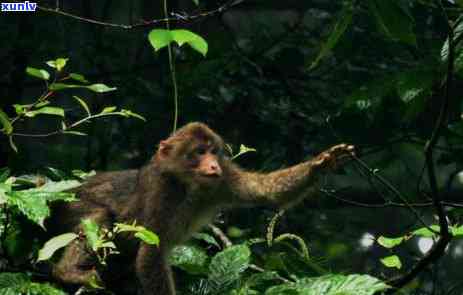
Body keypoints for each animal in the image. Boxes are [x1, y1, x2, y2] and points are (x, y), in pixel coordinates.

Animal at [48, 122, 356, 295]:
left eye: (213, 151)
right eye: (198, 152)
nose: (212, 165)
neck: (189, 184)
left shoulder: (225, 177)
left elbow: (265, 192)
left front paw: (323, 163)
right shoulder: (163, 189)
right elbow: (150, 252)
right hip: (69, 205)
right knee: (98, 216)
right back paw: (66, 272)